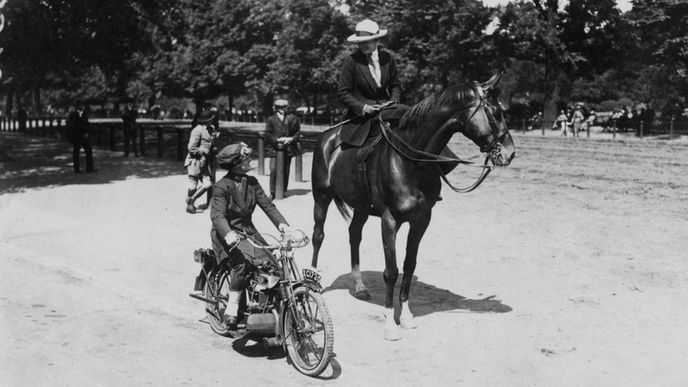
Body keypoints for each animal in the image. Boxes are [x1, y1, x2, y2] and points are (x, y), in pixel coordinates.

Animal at [310, 73, 512, 340]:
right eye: (496, 113)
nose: (510, 153)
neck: (408, 161)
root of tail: (326, 137)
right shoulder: (389, 221)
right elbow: (391, 271)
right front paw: (389, 323)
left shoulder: (421, 220)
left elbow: (408, 266)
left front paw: (405, 317)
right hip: (321, 197)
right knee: (318, 236)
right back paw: (311, 281)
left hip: (361, 207)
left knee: (354, 235)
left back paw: (359, 286)